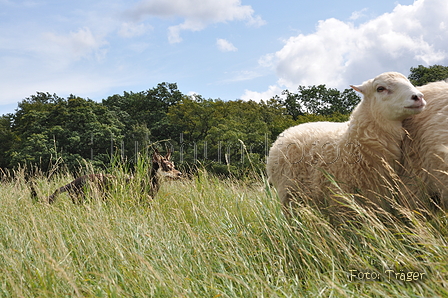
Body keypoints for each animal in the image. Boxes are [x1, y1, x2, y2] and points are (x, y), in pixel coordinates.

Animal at [268, 71, 426, 218]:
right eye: (380, 88)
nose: (418, 97)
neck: (353, 144)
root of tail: (286, 132)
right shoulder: (342, 198)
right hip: (288, 194)